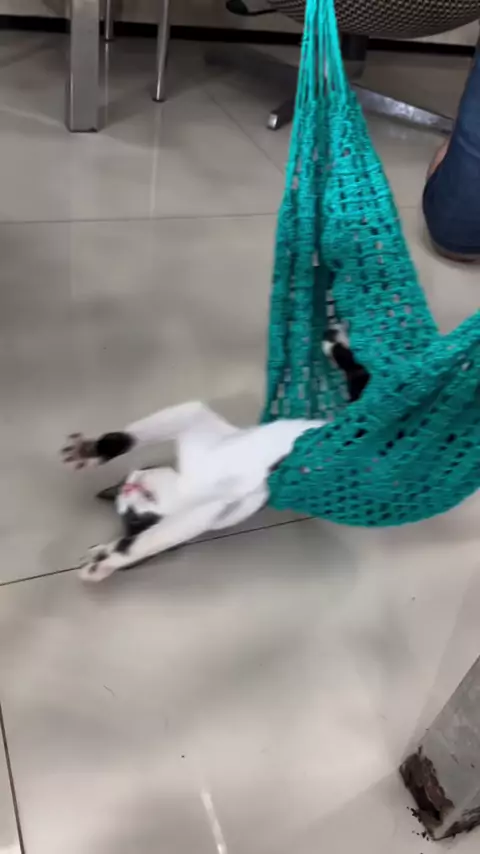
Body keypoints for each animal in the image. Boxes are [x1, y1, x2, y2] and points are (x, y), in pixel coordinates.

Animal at [62, 328, 369, 582]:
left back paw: (333, 343)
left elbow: (145, 430)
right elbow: (149, 540)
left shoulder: (197, 423)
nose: (128, 487)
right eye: (133, 519)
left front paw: (92, 451)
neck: (188, 482)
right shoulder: (209, 511)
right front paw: (106, 559)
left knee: (362, 385)